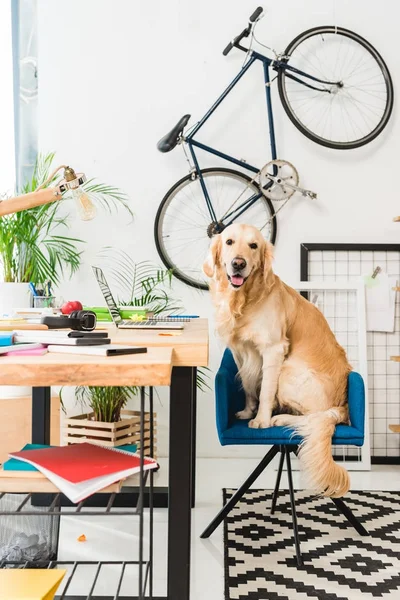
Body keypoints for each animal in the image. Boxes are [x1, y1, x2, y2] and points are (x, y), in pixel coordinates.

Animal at [205, 224, 352, 496]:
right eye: (229, 242)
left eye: (253, 246)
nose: (238, 263)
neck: (244, 300)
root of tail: (343, 404)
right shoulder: (239, 351)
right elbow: (249, 386)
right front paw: (247, 411)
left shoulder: (273, 349)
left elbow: (265, 391)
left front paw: (261, 419)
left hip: (289, 370)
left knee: (315, 416)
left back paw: (280, 418)